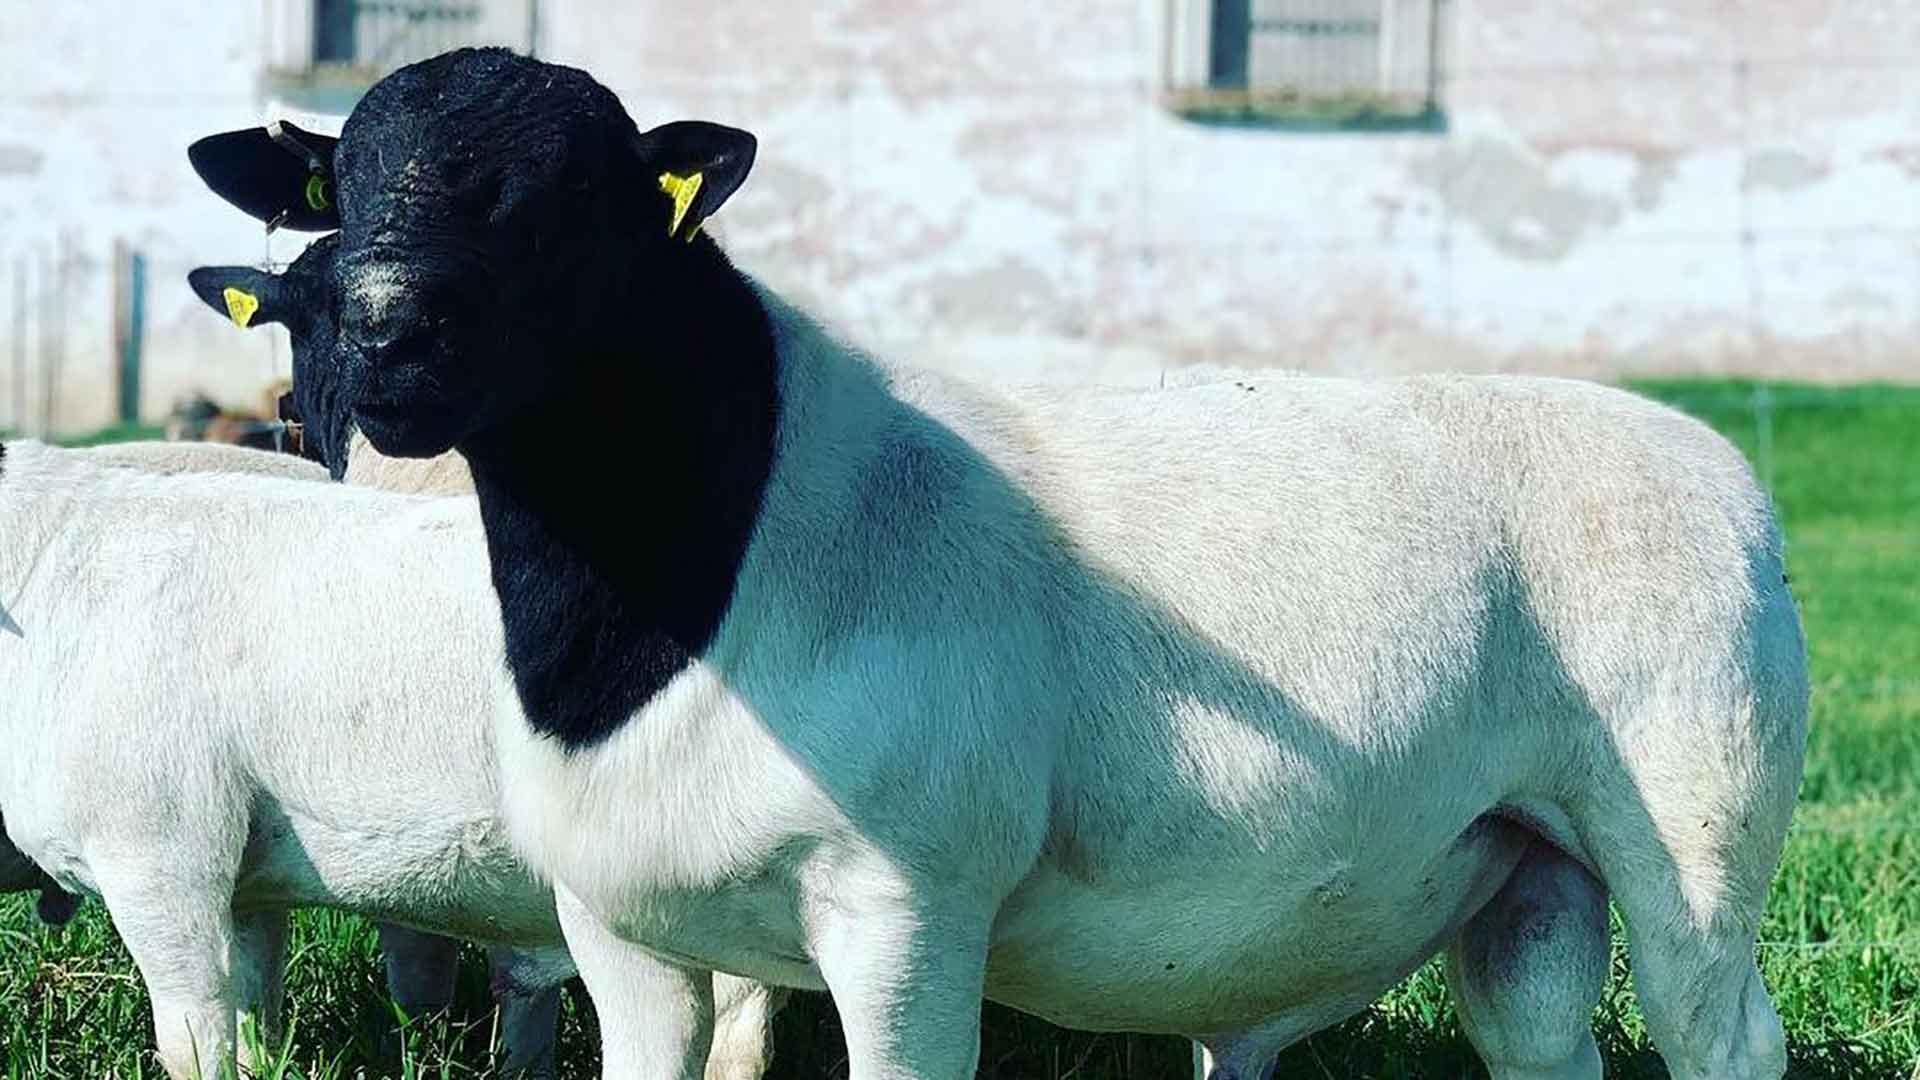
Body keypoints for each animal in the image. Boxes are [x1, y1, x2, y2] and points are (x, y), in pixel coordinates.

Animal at [251, 48, 1797, 1076]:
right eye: (347, 179)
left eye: (571, 195)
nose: (385, 333)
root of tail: (1718, 466)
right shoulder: (620, 927)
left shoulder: (908, 910)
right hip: (1530, 864)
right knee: (1539, 1032)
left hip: (1698, 832)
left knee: (1725, 1037)